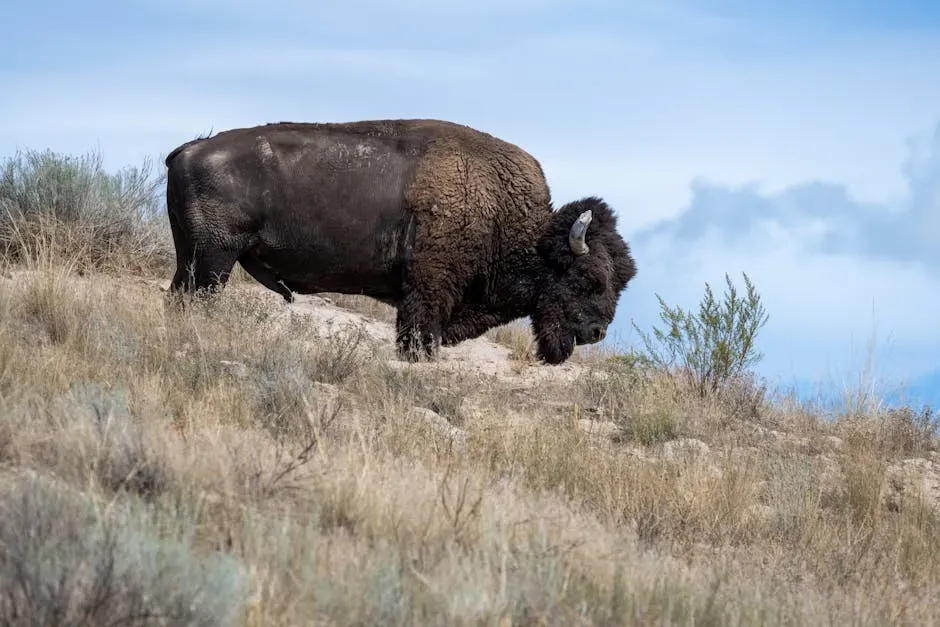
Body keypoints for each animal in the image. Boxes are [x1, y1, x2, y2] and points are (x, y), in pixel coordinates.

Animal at [163, 118, 637, 364]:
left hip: (193, 258)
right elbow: (417, 337)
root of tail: (186, 150)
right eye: (588, 279)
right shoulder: (428, 294)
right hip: (213, 260)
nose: (596, 332)